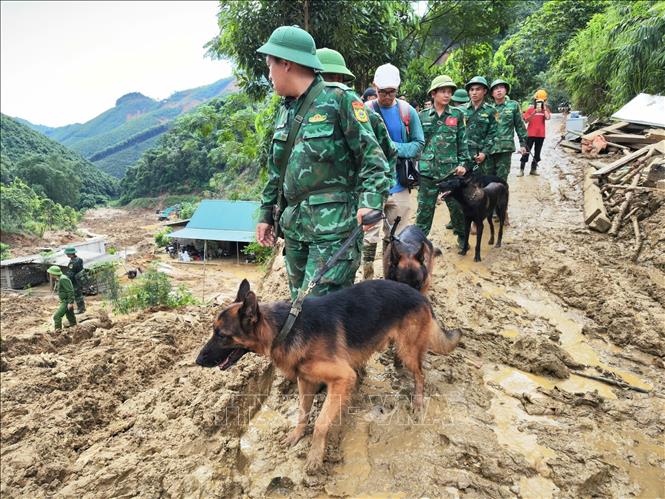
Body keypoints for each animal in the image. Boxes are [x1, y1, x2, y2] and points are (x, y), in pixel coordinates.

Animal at [195, 282, 460, 472]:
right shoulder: (306, 381)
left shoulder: (343, 378)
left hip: (408, 350)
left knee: (421, 375)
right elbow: (303, 413)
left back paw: (417, 400)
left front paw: (314, 456)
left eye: (221, 335)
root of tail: (421, 296)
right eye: (213, 331)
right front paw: (296, 436)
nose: (197, 361)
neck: (285, 328)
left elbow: (321, 422)